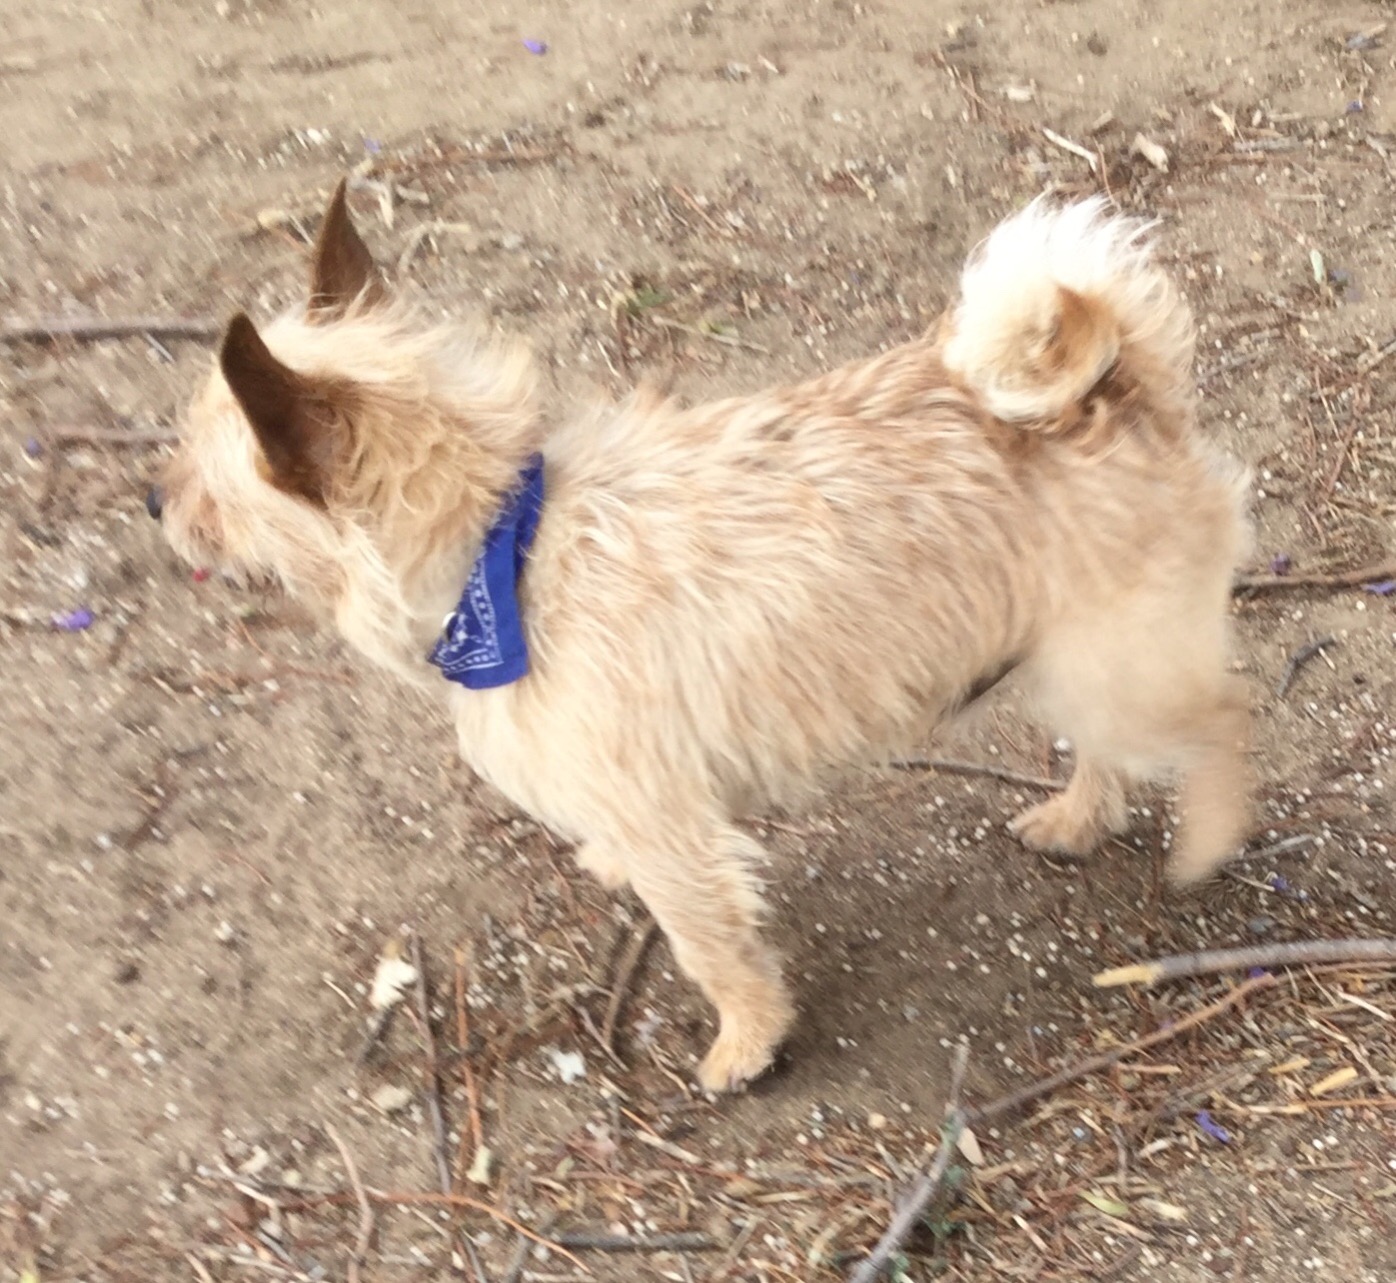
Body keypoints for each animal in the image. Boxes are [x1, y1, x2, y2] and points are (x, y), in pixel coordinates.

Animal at [151, 181, 1252, 1092]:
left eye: (205, 479)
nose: (155, 502)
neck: (505, 550)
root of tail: (1119, 383)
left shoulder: (675, 836)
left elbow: (711, 945)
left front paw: (748, 1042)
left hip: (1121, 670)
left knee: (1222, 724)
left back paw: (1205, 841)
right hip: (1076, 664)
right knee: (1111, 750)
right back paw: (1077, 817)